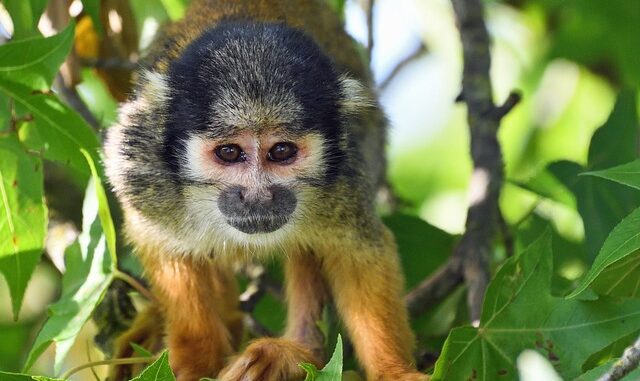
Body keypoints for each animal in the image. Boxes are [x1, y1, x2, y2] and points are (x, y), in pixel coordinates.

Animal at [102, 0, 428, 380]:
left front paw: (395, 372)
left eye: (281, 151)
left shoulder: (345, 175)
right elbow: (162, 244)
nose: (257, 197)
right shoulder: (142, 167)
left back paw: (300, 352)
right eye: (229, 152)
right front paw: (194, 359)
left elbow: (359, 251)